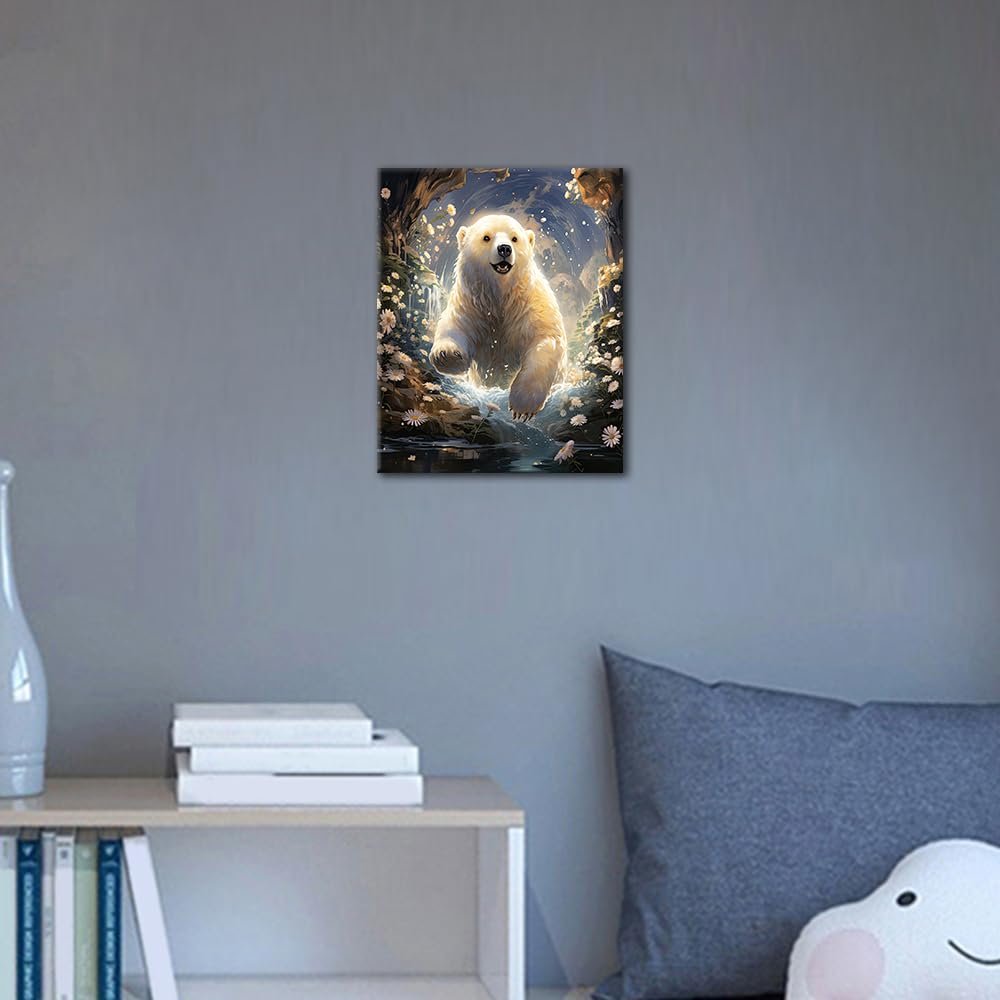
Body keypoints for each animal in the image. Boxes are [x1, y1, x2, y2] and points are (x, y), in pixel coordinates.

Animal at [429, 213, 568, 420]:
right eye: (486, 237)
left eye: (515, 238)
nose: (504, 248)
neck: (501, 296)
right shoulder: (472, 305)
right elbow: (455, 325)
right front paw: (447, 355)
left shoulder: (531, 306)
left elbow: (545, 341)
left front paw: (523, 404)